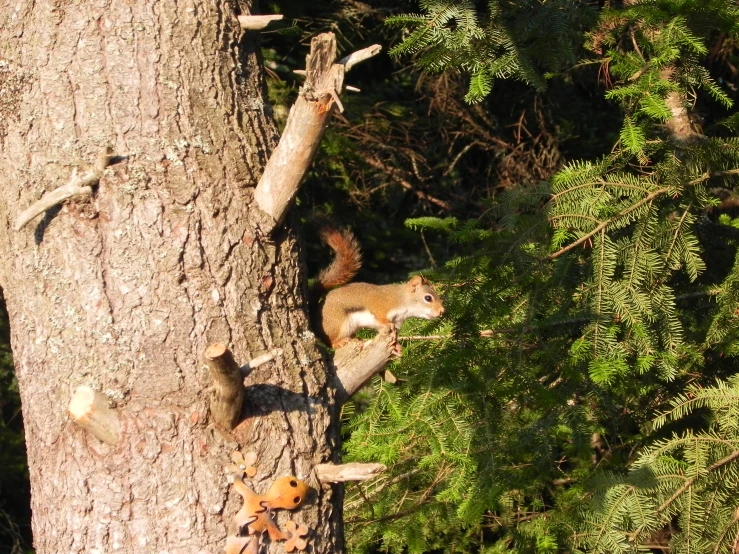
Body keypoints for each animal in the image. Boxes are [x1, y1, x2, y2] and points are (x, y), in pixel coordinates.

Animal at [312, 226, 446, 348]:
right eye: (428, 298)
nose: (442, 311)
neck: (403, 300)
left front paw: (396, 347)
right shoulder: (381, 305)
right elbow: (381, 317)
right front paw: (388, 324)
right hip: (338, 323)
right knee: (330, 342)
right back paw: (339, 342)